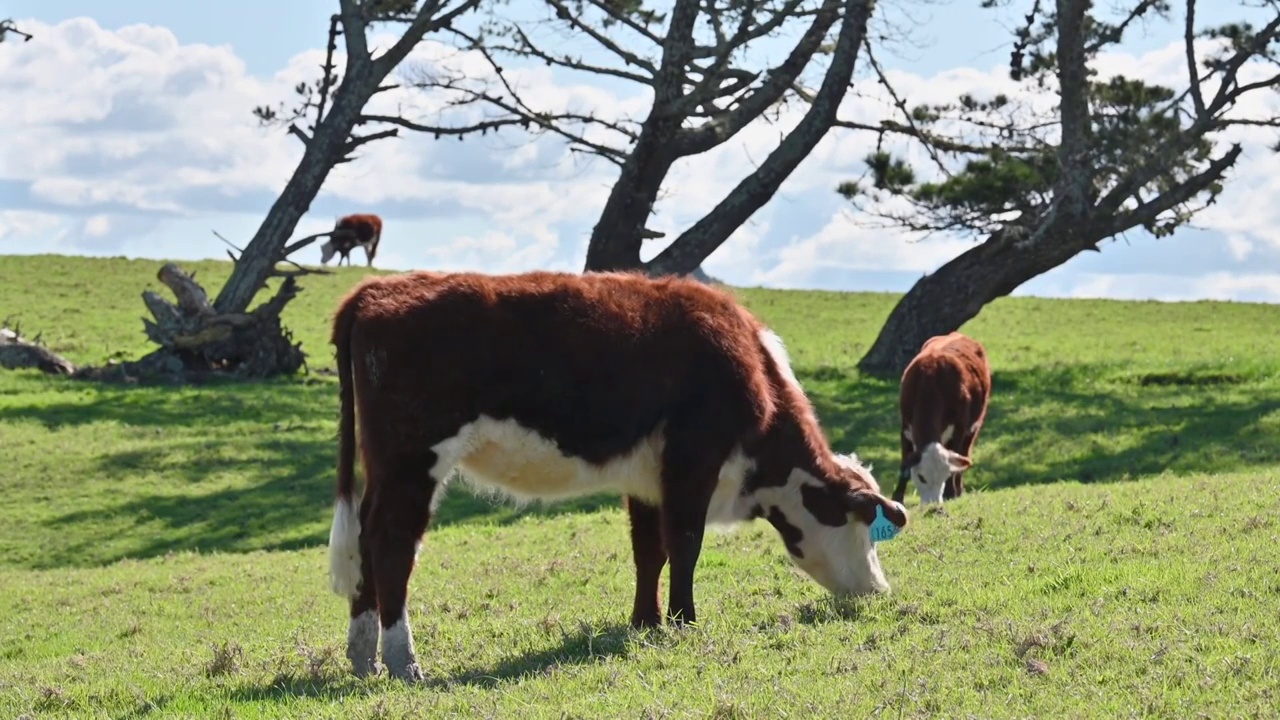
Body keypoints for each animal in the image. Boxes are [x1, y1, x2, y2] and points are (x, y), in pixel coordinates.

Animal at [330, 267, 911, 676]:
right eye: (867, 526)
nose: (878, 589)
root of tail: (380, 288)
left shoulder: (648, 479)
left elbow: (648, 551)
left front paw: (646, 622)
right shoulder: (692, 460)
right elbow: (684, 542)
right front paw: (684, 621)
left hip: (385, 467)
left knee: (364, 535)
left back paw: (364, 658)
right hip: (414, 459)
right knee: (391, 542)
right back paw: (403, 661)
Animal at [896, 333, 993, 504]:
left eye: (944, 476)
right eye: (921, 477)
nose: (933, 504)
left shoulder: (960, 428)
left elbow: (955, 459)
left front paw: (950, 493)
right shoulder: (905, 428)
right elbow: (904, 467)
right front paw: (897, 498)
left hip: (974, 427)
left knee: (964, 453)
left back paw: (958, 489)